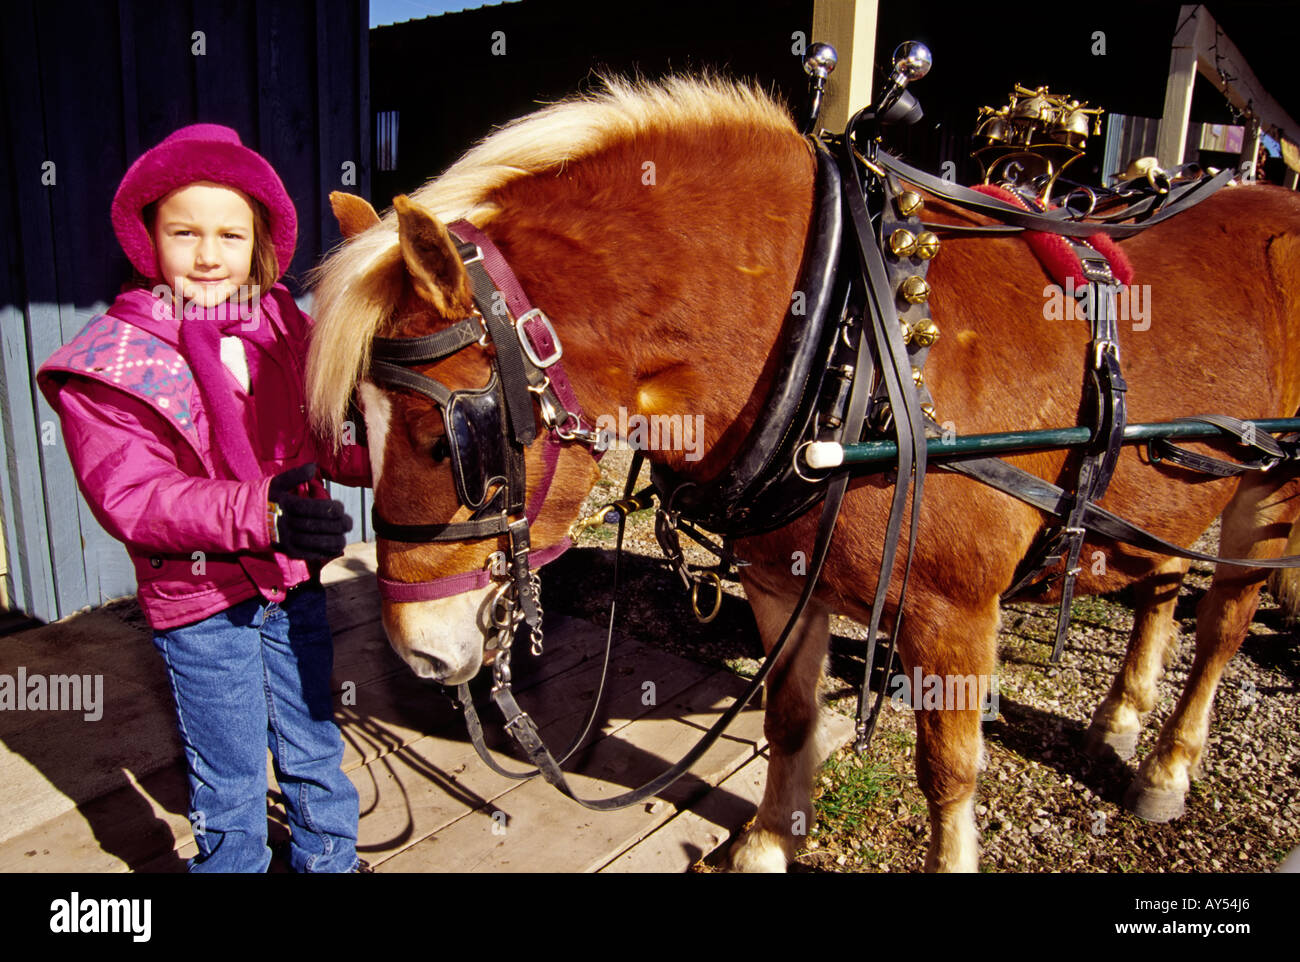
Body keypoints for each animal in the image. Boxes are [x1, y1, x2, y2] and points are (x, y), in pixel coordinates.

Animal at [306, 77, 1300, 873]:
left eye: (446, 439)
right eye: (358, 426)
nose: (419, 654)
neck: (841, 335)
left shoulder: (954, 611)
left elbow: (948, 770)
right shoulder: (783, 577)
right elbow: (788, 718)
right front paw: (768, 843)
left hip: (1270, 488)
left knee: (1225, 619)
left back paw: (1167, 764)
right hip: (1177, 482)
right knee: (1163, 578)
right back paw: (1123, 714)